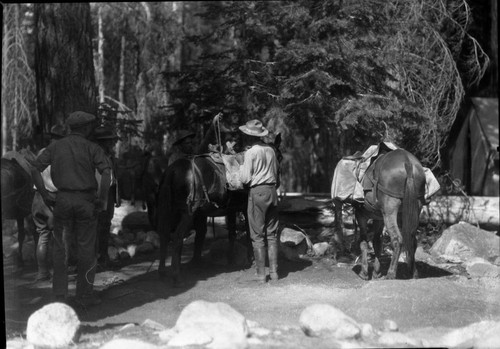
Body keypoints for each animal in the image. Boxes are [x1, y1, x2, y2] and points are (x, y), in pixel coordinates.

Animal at [332, 148, 426, 278]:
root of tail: (407, 162)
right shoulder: (379, 218)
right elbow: (377, 242)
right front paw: (376, 272)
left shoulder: (361, 216)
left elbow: (364, 242)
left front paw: (364, 272)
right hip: (413, 209)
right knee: (412, 239)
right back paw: (413, 272)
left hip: (390, 211)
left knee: (397, 239)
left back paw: (391, 273)